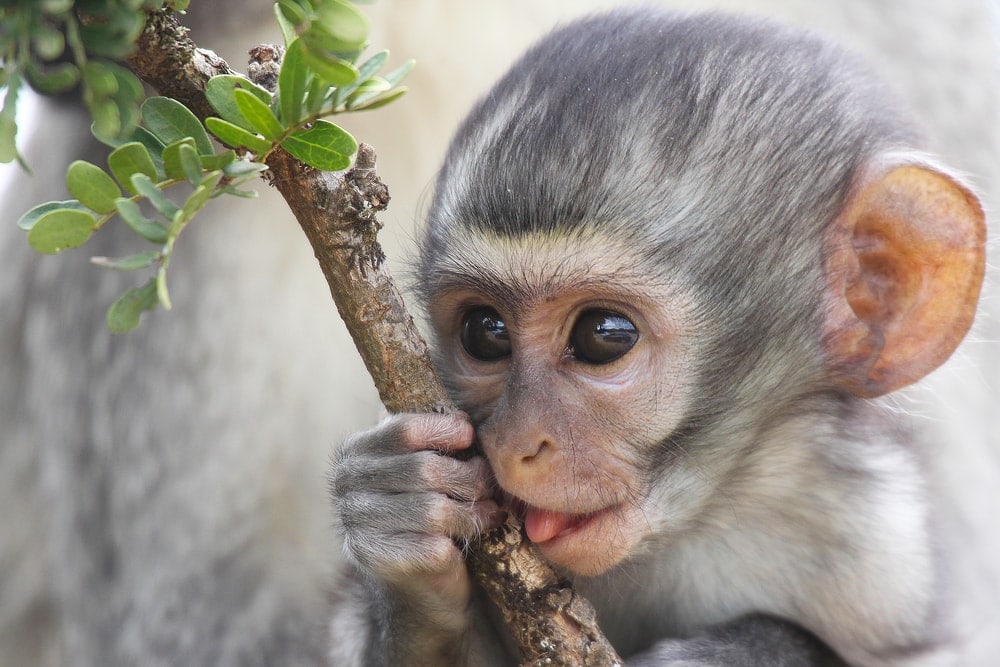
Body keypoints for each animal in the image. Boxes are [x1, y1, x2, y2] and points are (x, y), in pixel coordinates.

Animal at [328, 9, 989, 666]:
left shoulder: (883, 548)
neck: (699, 518)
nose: (513, 443)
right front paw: (402, 529)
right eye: (485, 331)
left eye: (603, 335)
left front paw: (744, 650)